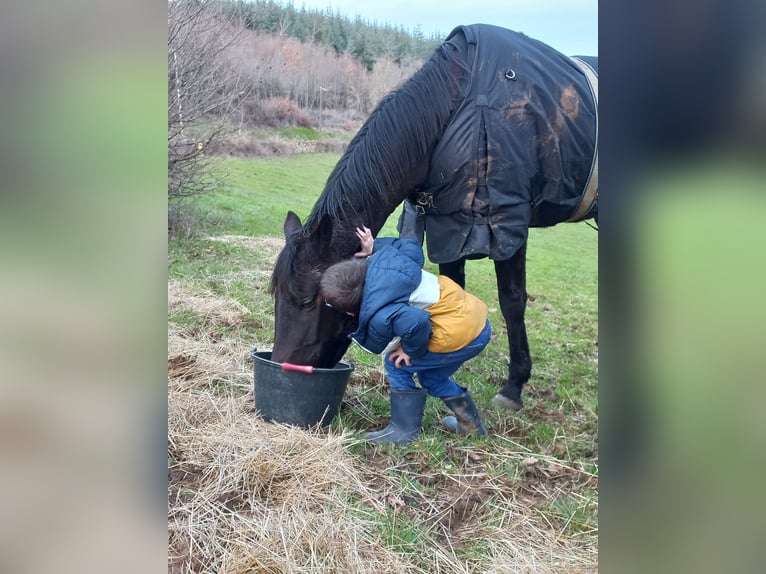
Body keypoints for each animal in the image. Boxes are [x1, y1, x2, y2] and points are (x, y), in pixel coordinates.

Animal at [270, 24, 600, 412]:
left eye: (308, 302)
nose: (282, 366)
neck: (455, 107)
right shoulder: (451, 222)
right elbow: (453, 287)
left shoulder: (506, 223)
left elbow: (512, 301)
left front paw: (514, 386)